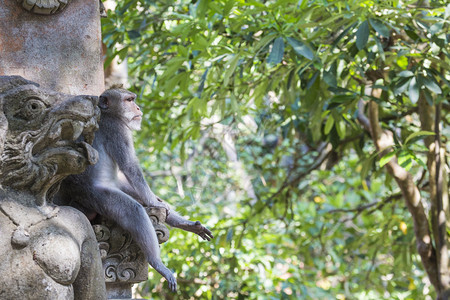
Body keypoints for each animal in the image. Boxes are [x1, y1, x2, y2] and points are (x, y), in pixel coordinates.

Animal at [54, 88, 213, 292]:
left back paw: (186, 224)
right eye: (129, 100)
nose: (137, 107)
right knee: (133, 210)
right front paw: (153, 202)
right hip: (95, 196)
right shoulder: (118, 130)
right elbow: (130, 166)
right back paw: (156, 261)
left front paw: (159, 204)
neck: (109, 114)